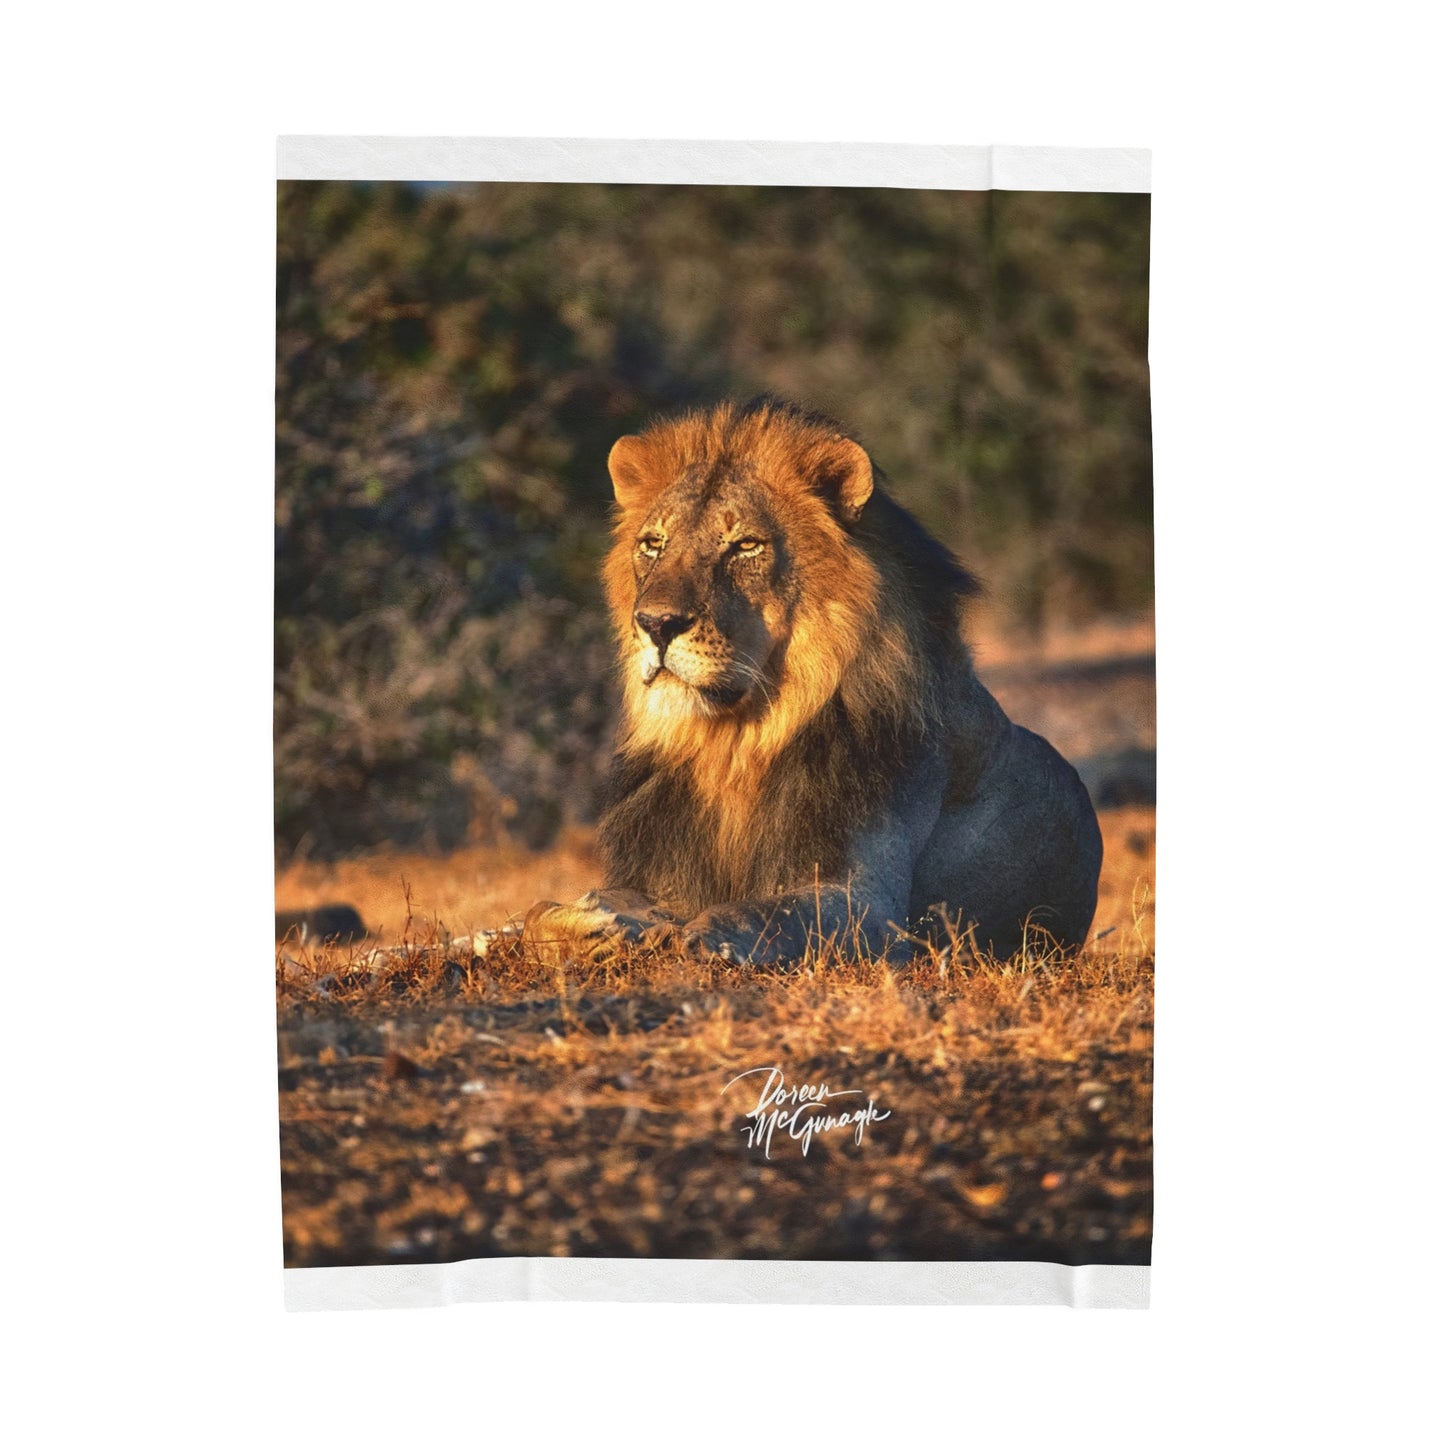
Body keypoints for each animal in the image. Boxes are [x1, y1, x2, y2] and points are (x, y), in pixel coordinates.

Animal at [526, 398, 1103, 966]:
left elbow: (762, 912)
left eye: (746, 545)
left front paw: (701, 939)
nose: (655, 623)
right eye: (652, 543)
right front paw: (589, 923)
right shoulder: (659, 875)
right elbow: (539, 908)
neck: (733, 745)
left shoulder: (871, 904)